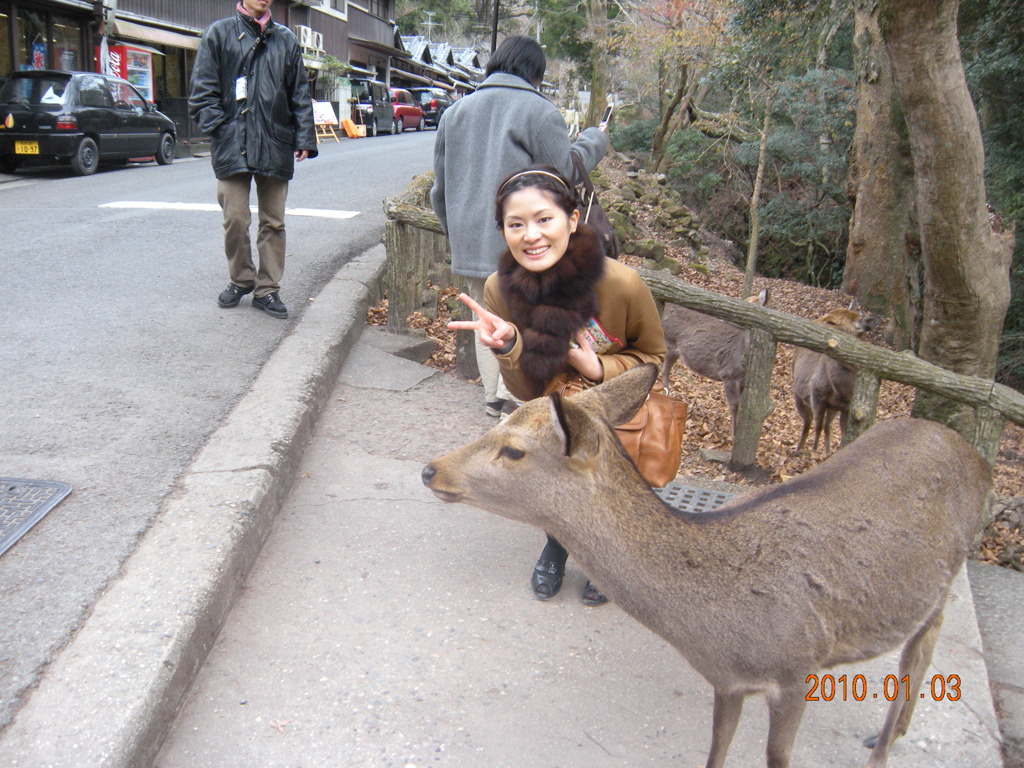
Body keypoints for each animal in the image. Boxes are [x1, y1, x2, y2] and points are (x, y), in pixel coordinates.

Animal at [421, 364, 991, 768]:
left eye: (514, 450)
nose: (430, 469)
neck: (714, 629)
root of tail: (979, 458)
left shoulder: (798, 667)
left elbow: (776, 756)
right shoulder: (728, 681)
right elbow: (717, 748)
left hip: (947, 575)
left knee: (922, 646)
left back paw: (883, 746)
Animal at [663, 288, 770, 444]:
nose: (724, 316)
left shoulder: (742, 382)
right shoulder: (727, 374)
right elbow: (734, 405)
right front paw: (734, 435)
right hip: (669, 341)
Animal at [790, 305, 880, 450]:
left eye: (832, 322)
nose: (810, 323)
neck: (840, 391)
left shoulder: (847, 407)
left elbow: (842, 432)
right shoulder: (816, 396)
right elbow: (818, 427)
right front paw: (813, 450)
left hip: (832, 409)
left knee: (828, 425)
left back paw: (826, 451)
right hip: (798, 394)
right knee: (808, 421)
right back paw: (798, 449)